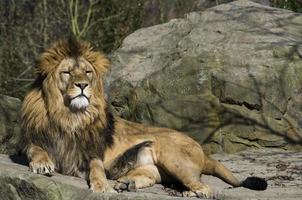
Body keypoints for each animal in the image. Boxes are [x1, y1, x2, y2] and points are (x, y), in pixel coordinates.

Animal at [21, 38, 266, 198]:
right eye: (67, 72)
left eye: (87, 72)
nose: (83, 85)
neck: (70, 115)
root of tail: (203, 150)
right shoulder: (35, 140)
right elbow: (35, 150)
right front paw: (42, 164)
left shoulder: (91, 151)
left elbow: (97, 167)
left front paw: (102, 186)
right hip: (152, 166)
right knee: (152, 176)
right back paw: (126, 183)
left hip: (172, 156)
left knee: (205, 187)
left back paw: (193, 193)